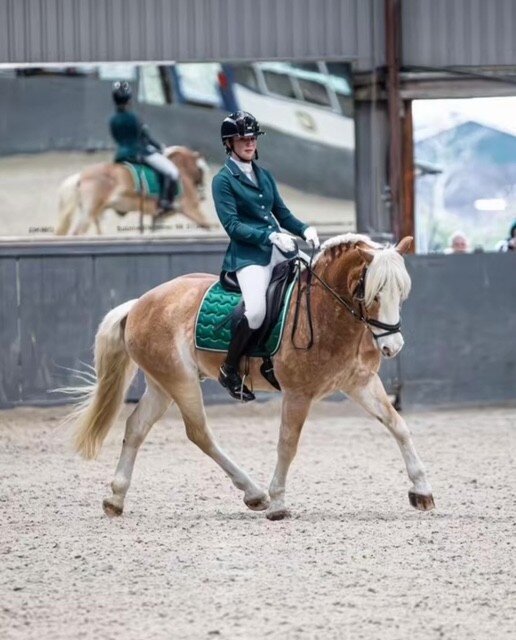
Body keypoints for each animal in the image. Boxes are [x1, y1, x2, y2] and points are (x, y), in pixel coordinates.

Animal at [55, 146, 212, 235]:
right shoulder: (191, 209)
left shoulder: (158, 217)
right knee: (78, 233)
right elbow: (208, 226)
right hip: (90, 212)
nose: (203, 197)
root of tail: (81, 175)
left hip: (93, 212)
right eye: (201, 170)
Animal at [70, 233, 435, 521]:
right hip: (180, 381)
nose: (392, 347)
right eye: (370, 293)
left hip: (161, 384)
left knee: (136, 428)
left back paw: (115, 498)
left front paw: (422, 490)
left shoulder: (360, 383)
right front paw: (278, 503)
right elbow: (287, 444)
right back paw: (256, 494)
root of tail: (139, 304)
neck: (325, 310)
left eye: (401, 294)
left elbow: (398, 426)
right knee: (199, 433)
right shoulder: (298, 393)